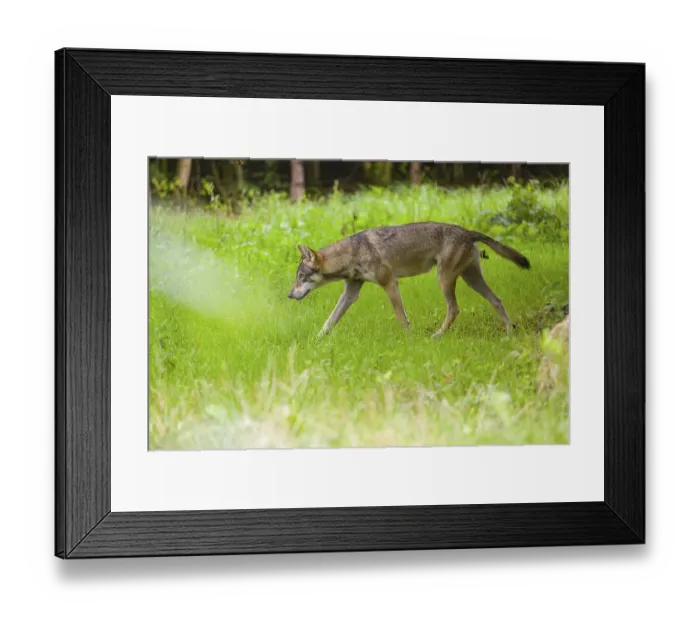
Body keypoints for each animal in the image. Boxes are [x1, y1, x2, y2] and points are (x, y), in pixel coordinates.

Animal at [287, 222, 530, 338]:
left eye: (300, 277)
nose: (289, 295)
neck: (352, 253)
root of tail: (467, 231)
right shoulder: (350, 293)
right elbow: (330, 320)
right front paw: (317, 340)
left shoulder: (390, 283)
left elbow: (401, 318)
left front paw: (410, 339)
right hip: (471, 279)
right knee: (497, 300)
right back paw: (509, 332)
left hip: (444, 279)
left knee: (454, 309)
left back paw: (438, 335)